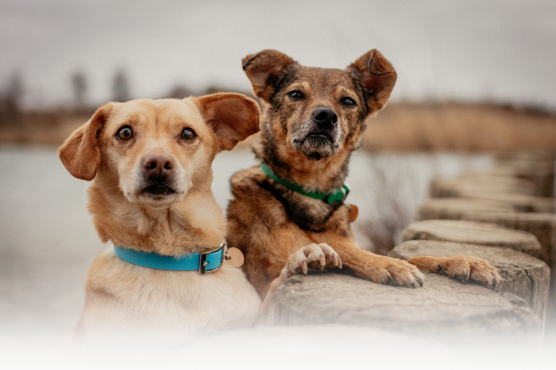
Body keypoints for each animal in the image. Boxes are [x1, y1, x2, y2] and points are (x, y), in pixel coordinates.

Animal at [226, 49, 500, 300]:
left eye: (348, 101)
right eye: (295, 94)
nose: (325, 115)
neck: (312, 190)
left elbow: (416, 256)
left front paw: (461, 261)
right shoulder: (265, 282)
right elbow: (340, 248)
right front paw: (389, 264)